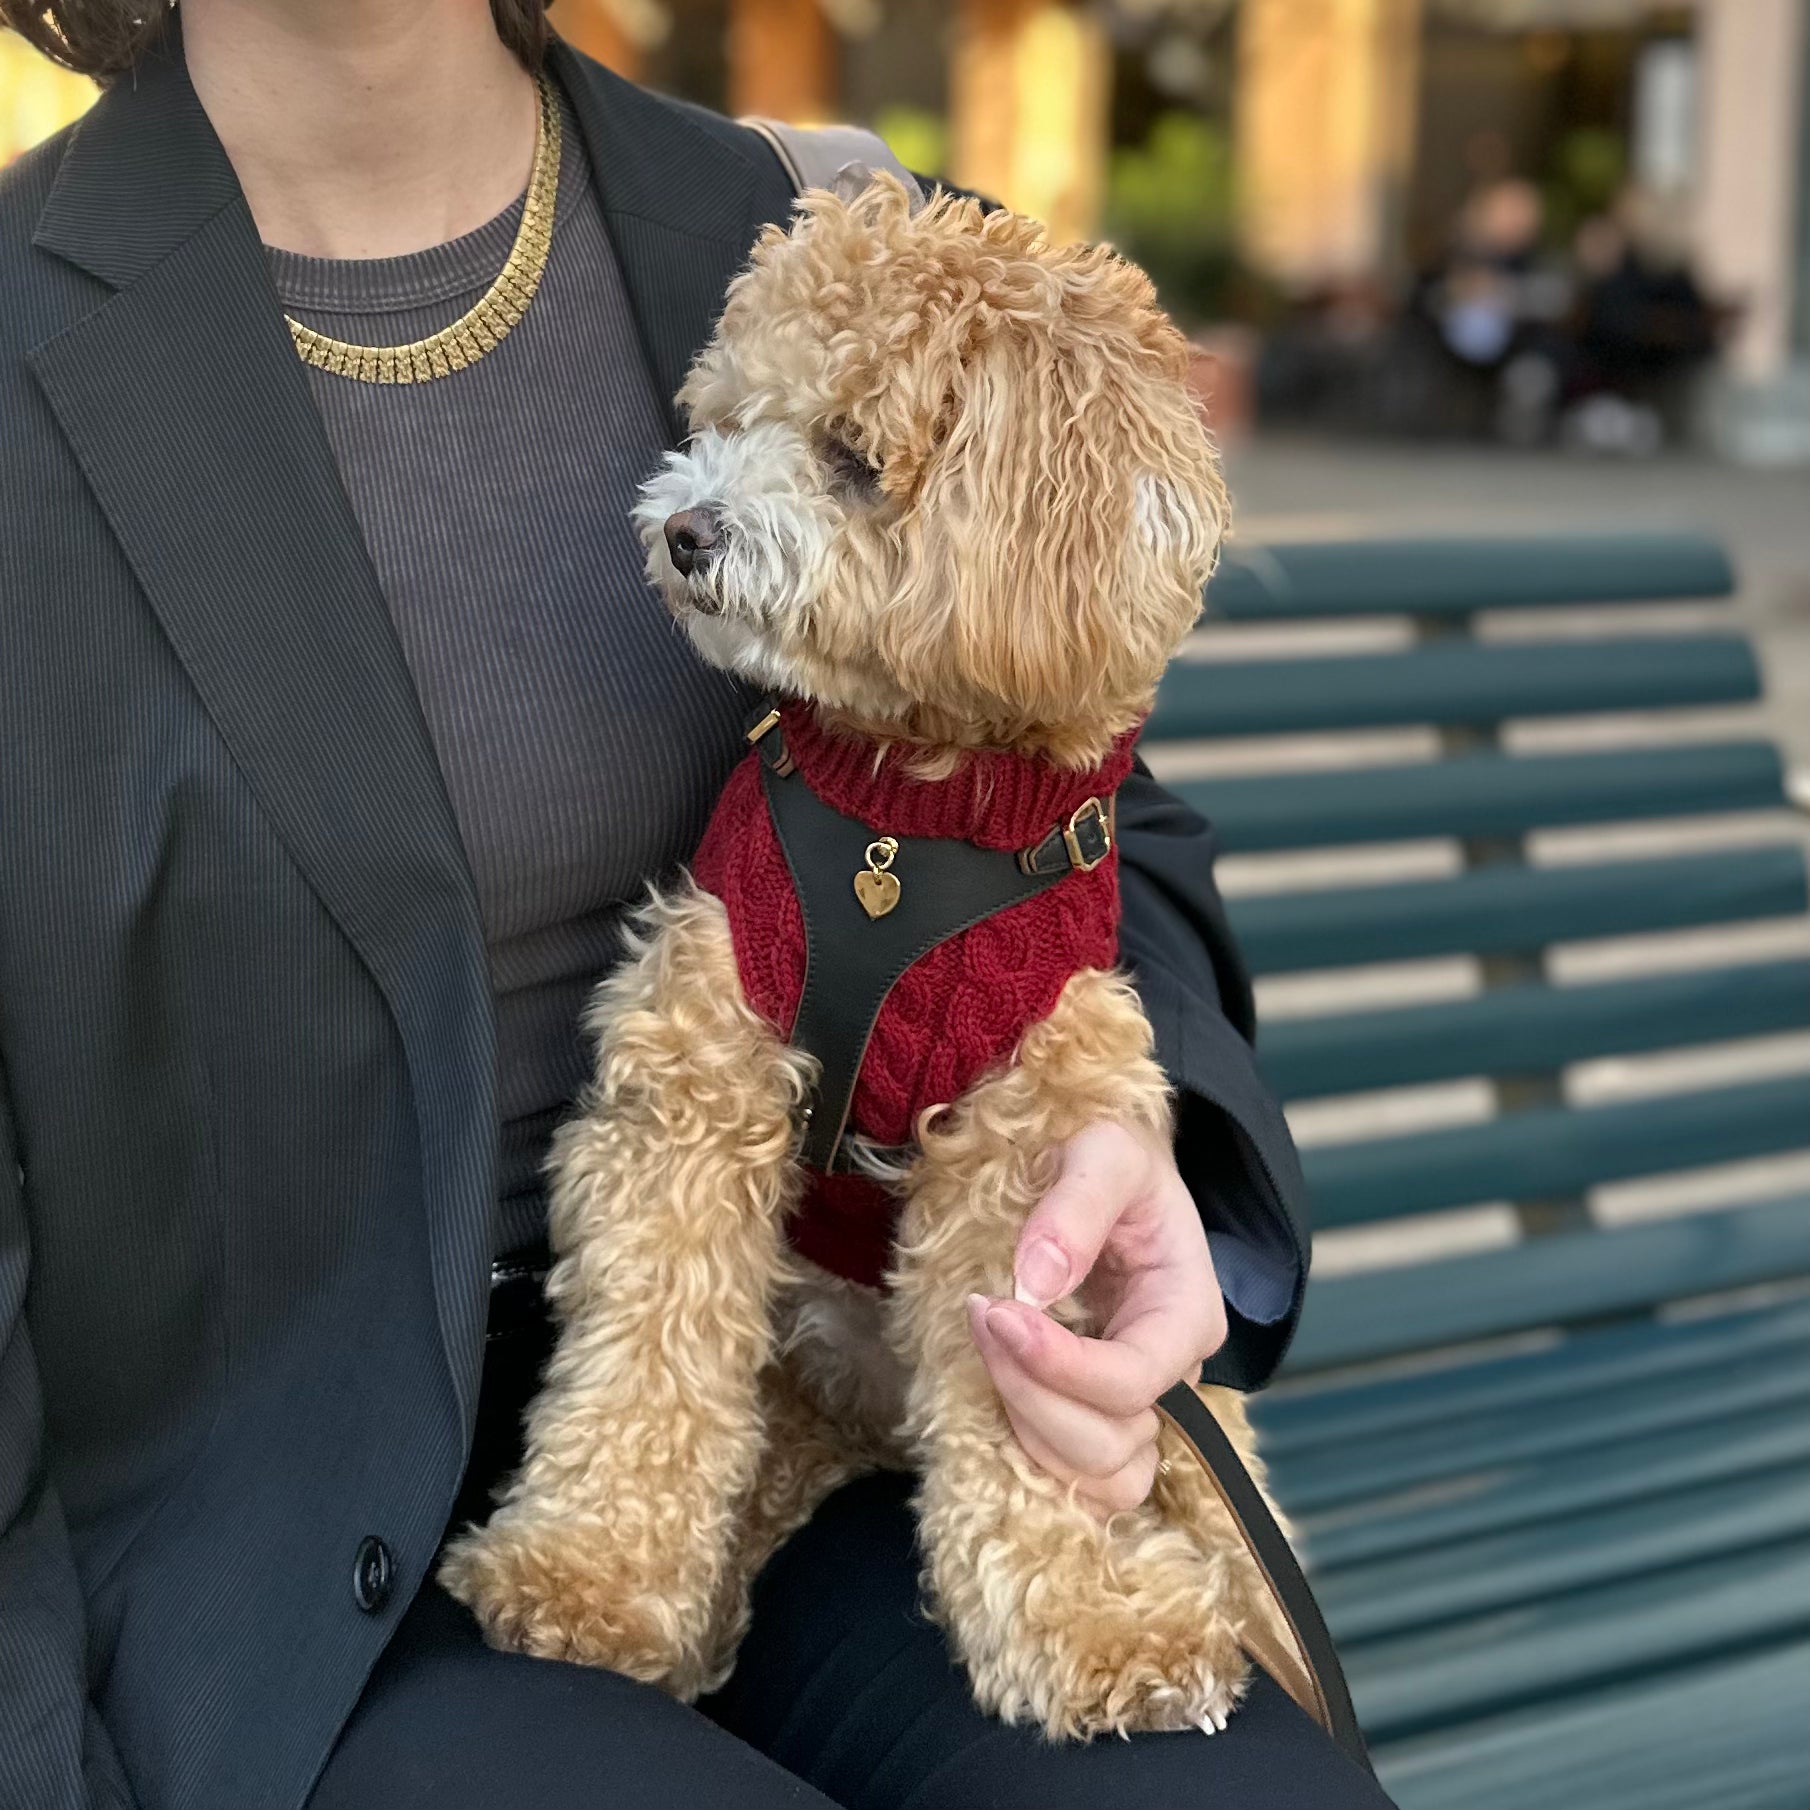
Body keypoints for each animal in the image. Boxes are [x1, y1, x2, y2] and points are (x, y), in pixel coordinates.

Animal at [439, 172, 1288, 1737]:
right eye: (721, 419)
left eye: (847, 454)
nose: (685, 530)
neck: (909, 811)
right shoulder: (696, 1078)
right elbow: (645, 1355)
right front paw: (590, 1574)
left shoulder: (1028, 1162)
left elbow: (1024, 1430)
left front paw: (1085, 1623)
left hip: (1190, 1416)